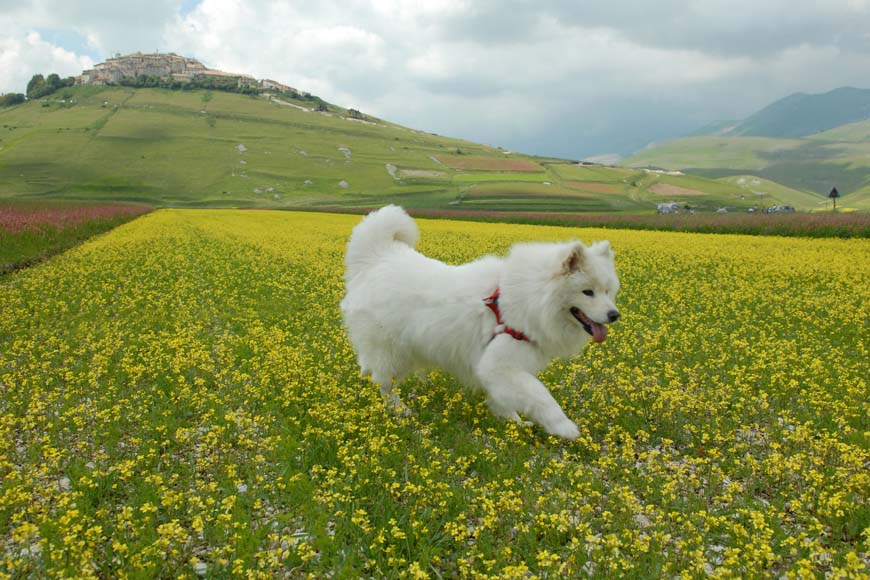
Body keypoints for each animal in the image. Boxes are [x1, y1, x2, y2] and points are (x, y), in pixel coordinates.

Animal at [340, 206, 620, 438]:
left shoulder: (499, 368)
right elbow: (541, 395)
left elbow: (506, 400)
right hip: (392, 351)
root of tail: (378, 258)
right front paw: (564, 427)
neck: (527, 299)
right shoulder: (500, 365)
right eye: (588, 292)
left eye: (608, 291)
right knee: (385, 383)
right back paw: (399, 410)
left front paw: (513, 421)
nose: (614, 315)